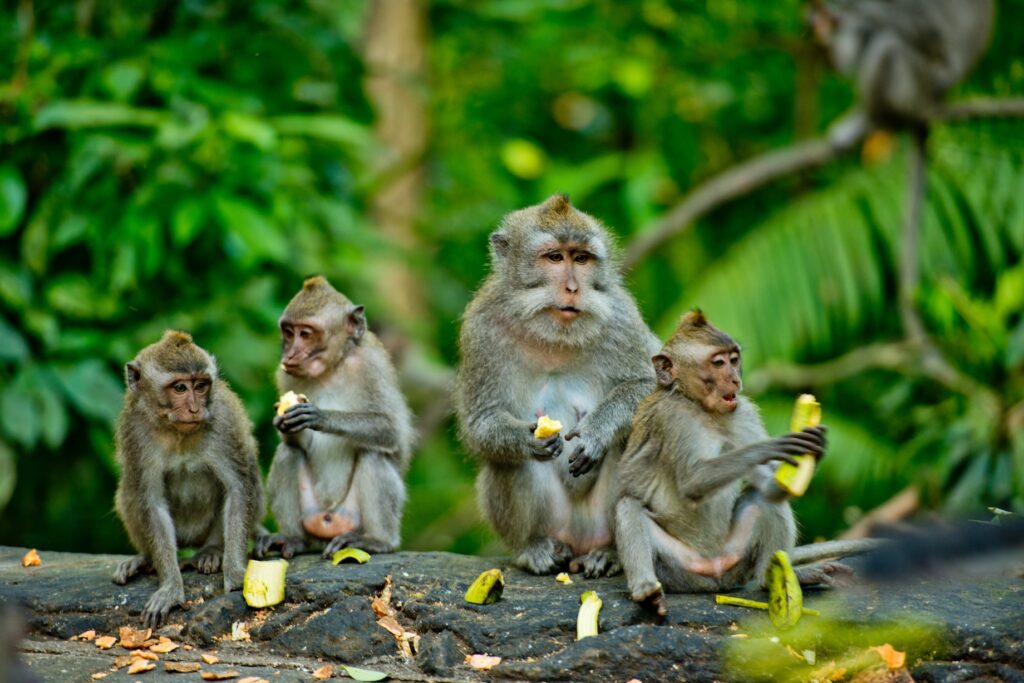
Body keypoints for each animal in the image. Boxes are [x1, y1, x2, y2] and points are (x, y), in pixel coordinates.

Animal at [112, 331, 264, 630]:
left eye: (201, 386)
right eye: (180, 388)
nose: (195, 408)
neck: (176, 431)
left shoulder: (223, 421)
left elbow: (238, 488)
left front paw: (236, 573)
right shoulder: (135, 430)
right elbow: (151, 502)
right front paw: (170, 587)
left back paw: (211, 551)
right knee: (129, 490)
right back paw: (144, 558)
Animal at [253, 276, 413, 561]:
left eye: (306, 334)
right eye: (288, 332)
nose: (289, 355)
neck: (331, 370)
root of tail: (329, 520)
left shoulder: (371, 365)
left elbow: (391, 430)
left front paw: (319, 416)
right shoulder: (285, 376)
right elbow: (293, 443)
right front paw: (283, 423)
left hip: (351, 517)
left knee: (373, 454)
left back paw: (377, 540)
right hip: (313, 515)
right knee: (288, 453)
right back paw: (294, 539)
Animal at [452, 192, 659, 577]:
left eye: (581, 258)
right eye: (554, 257)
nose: (573, 288)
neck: (553, 335)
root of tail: (579, 540)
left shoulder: (622, 318)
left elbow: (650, 387)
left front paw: (596, 431)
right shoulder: (481, 327)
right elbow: (481, 423)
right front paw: (527, 439)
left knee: (633, 438)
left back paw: (610, 552)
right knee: (505, 461)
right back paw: (534, 548)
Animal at [610, 313, 835, 618]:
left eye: (734, 359)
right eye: (718, 363)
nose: (735, 379)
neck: (700, 407)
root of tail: (713, 571)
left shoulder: (743, 412)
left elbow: (770, 489)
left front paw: (816, 447)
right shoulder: (672, 418)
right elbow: (693, 480)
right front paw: (771, 447)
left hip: (735, 558)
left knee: (762, 499)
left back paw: (770, 579)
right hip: (678, 569)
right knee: (629, 506)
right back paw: (646, 591)